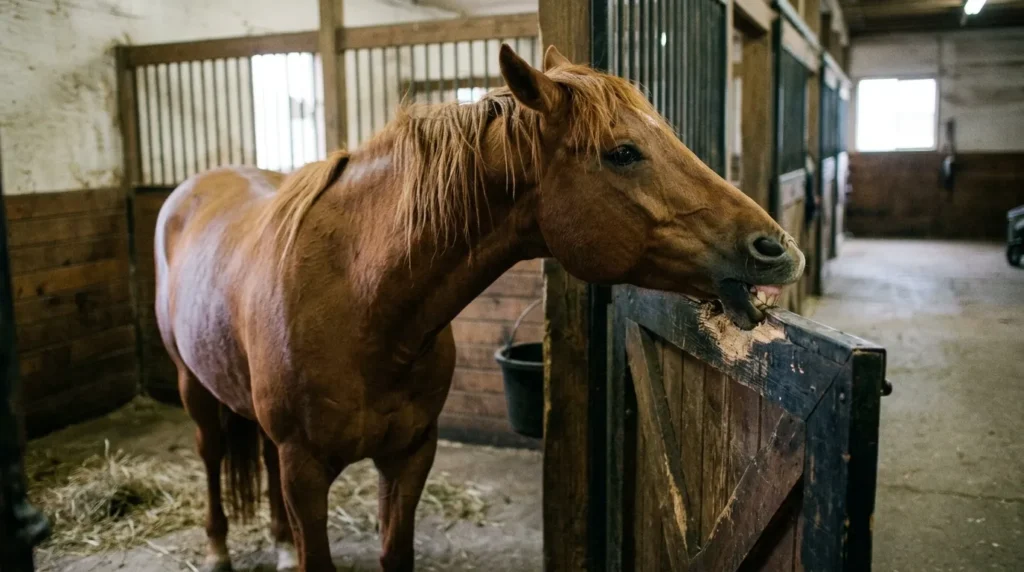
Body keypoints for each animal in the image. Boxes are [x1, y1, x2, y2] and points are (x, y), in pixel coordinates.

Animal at [154, 44, 804, 572]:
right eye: (622, 152)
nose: (779, 250)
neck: (357, 301)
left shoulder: (410, 456)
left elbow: (395, 553)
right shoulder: (306, 472)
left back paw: (279, 543)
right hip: (193, 389)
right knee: (210, 455)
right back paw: (217, 548)